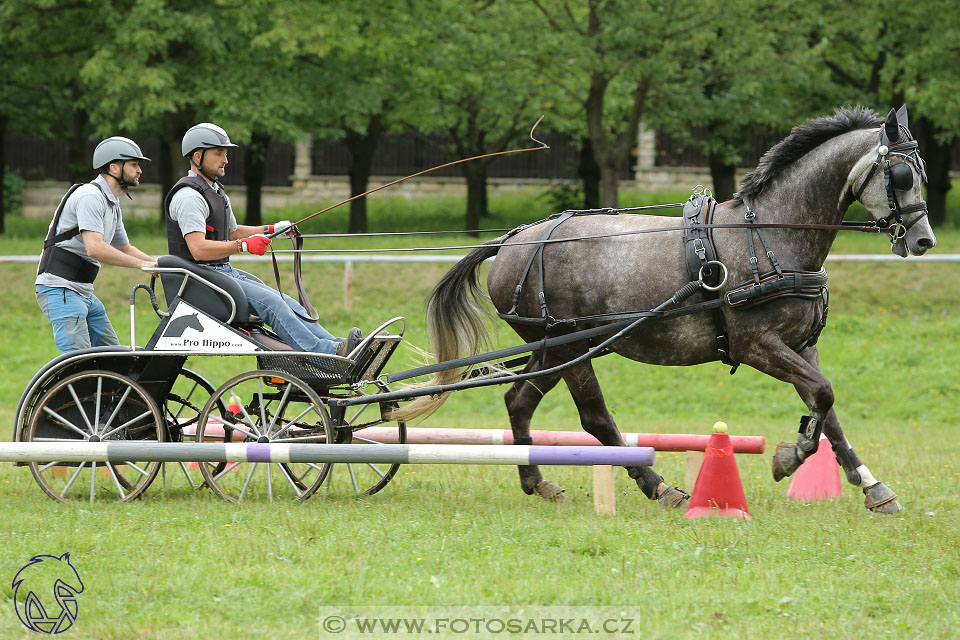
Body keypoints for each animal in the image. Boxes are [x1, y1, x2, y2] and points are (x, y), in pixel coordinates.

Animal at [394, 106, 932, 516]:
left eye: (920, 173)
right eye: (901, 174)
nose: (924, 240)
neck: (770, 234)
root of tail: (514, 241)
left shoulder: (802, 345)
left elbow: (828, 408)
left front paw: (872, 486)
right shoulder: (757, 345)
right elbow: (821, 395)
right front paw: (789, 457)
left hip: (554, 348)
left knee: (519, 400)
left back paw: (537, 482)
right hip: (572, 346)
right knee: (595, 418)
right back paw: (659, 487)